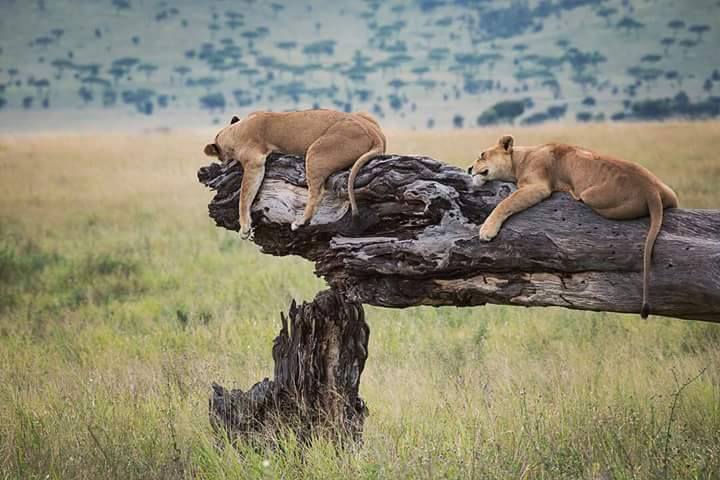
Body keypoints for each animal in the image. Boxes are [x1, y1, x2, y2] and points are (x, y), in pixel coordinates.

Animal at [204, 108, 382, 237]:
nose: (222, 163)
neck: (234, 130)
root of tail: (376, 134)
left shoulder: (254, 161)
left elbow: (244, 196)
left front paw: (244, 228)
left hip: (316, 151)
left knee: (317, 192)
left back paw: (301, 222)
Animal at [470, 134, 676, 318]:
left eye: (482, 155)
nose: (469, 168)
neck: (520, 159)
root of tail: (650, 190)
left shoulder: (538, 186)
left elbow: (506, 203)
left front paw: (487, 230)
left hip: (591, 196)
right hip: (670, 194)